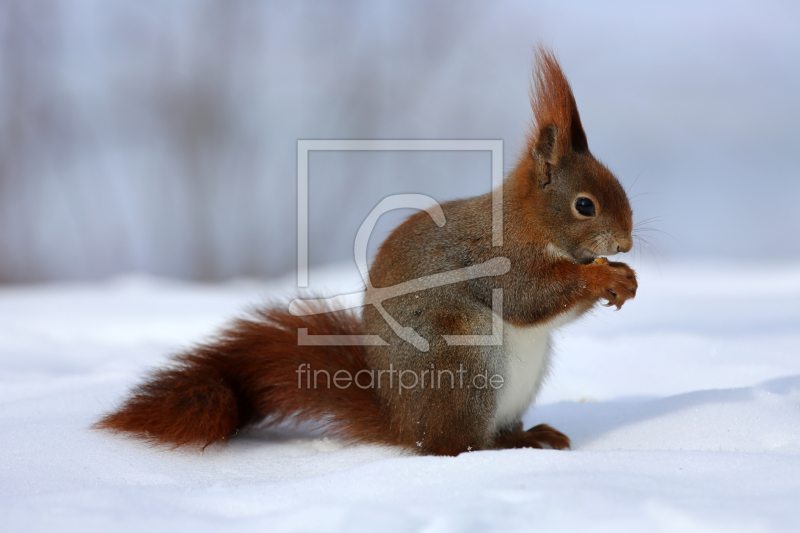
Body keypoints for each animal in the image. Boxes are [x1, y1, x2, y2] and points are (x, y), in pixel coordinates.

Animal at [97, 47, 636, 454]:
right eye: (584, 205)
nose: (627, 242)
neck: (531, 222)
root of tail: (403, 425)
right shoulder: (501, 258)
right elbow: (529, 298)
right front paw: (603, 276)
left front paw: (624, 279)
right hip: (462, 362)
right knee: (454, 446)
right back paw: (507, 444)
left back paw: (532, 433)